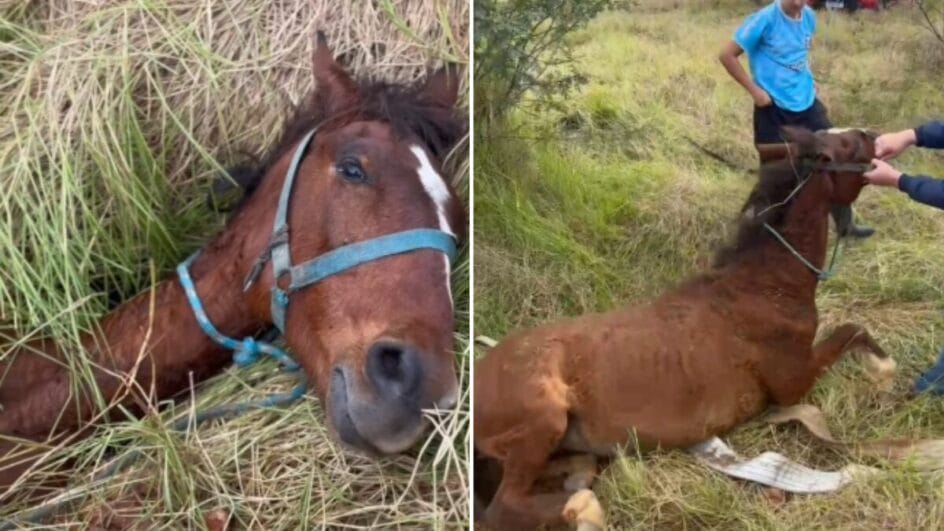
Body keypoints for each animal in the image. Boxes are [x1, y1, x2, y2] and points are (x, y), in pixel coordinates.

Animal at [473, 126, 889, 530]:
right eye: (848, 144)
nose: (873, 135)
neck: (764, 284)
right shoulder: (792, 384)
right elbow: (851, 330)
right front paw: (884, 370)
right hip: (543, 420)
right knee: (504, 506)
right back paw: (584, 509)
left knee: (572, 470)